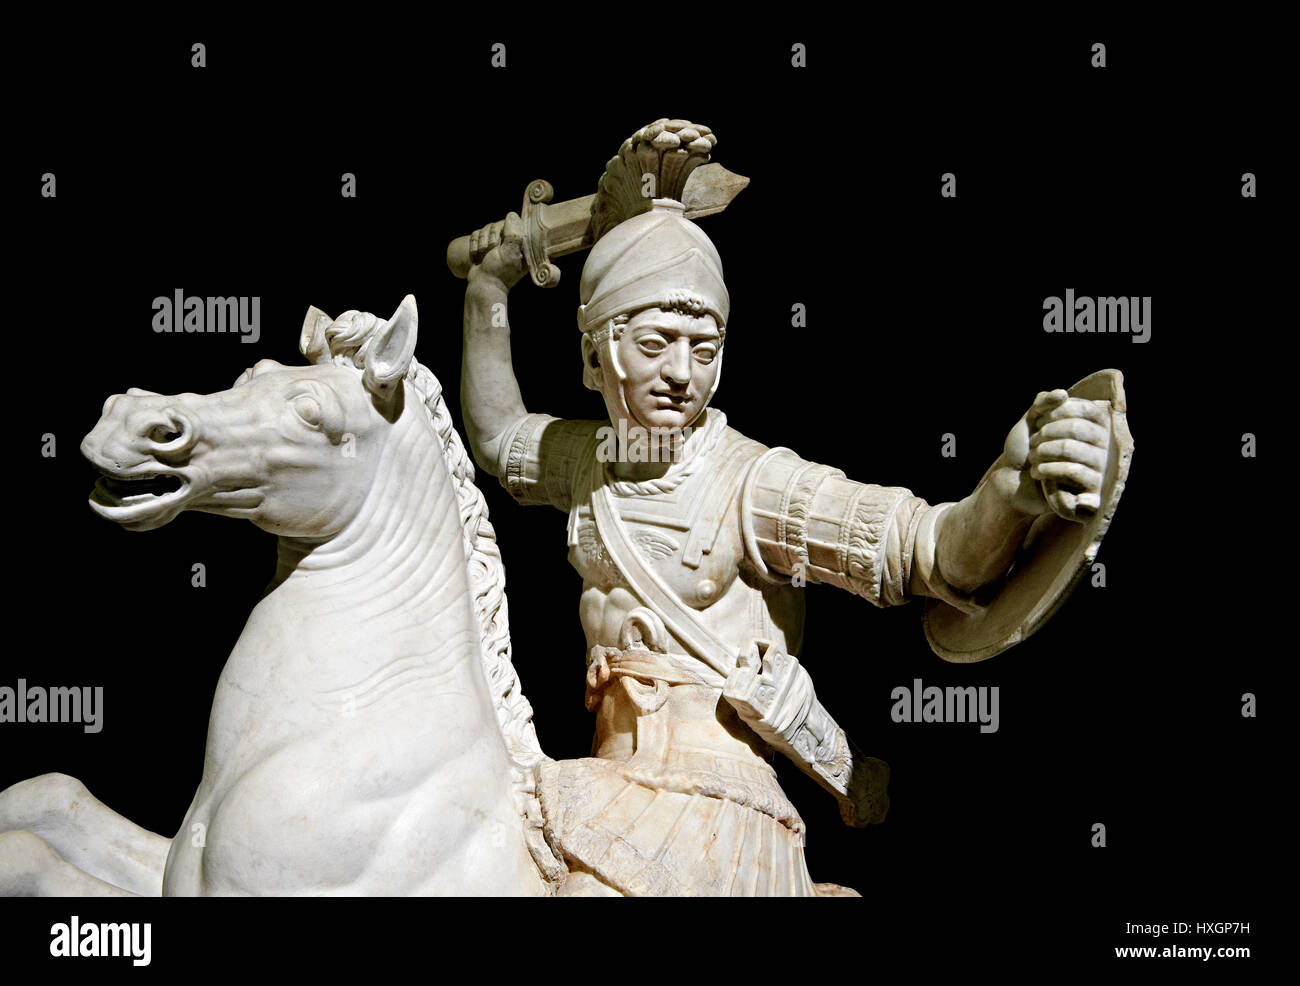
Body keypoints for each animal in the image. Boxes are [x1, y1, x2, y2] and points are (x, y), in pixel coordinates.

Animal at [1, 297, 559, 900]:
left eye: (312, 415)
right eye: (254, 373)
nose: (128, 421)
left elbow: (28, 856)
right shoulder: (175, 867)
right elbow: (50, 796)